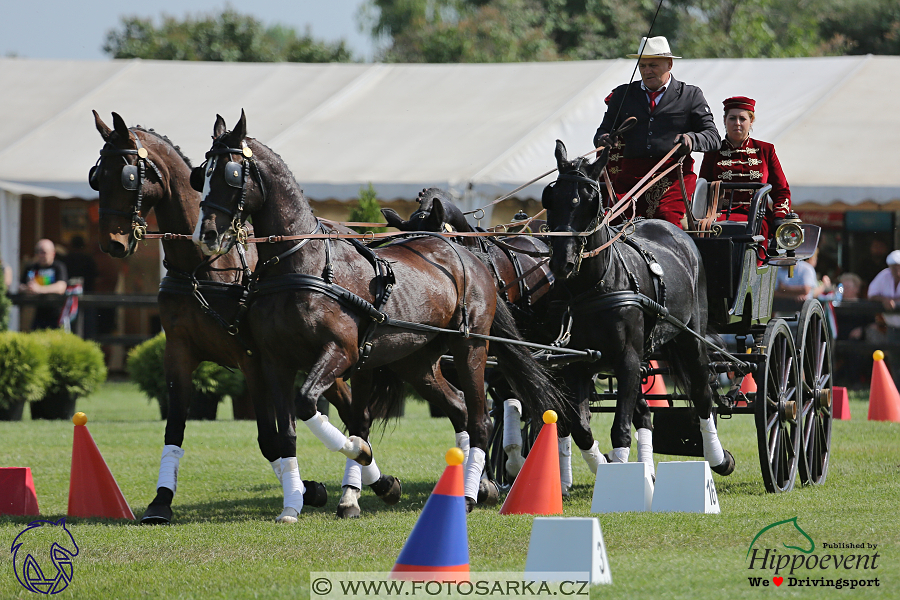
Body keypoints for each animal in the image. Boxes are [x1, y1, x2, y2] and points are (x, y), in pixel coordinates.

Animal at [92, 111, 400, 520]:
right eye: (97, 177)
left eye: (128, 176)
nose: (113, 243)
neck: (202, 267)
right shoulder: (179, 352)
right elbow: (175, 427)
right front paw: (161, 501)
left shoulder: (251, 357)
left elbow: (269, 437)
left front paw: (308, 489)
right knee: (351, 411)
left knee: (353, 413)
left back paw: (370, 482)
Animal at [194, 110, 568, 508]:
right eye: (202, 173)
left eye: (231, 174)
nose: (205, 234)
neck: (301, 264)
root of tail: (468, 254)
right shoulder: (275, 361)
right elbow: (290, 434)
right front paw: (296, 503)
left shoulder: (341, 352)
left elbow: (313, 406)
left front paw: (361, 456)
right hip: (415, 361)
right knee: (459, 408)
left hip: (470, 348)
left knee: (481, 419)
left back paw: (470, 492)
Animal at [536, 141, 736, 478]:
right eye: (551, 198)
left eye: (589, 201)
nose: (562, 262)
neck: (593, 287)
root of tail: (677, 231)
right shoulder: (578, 363)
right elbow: (580, 427)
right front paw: (604, 463)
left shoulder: (627, 359)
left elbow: (619, 428)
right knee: (643, 410)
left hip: (690, 337)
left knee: (702, 394)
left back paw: (719, 458)